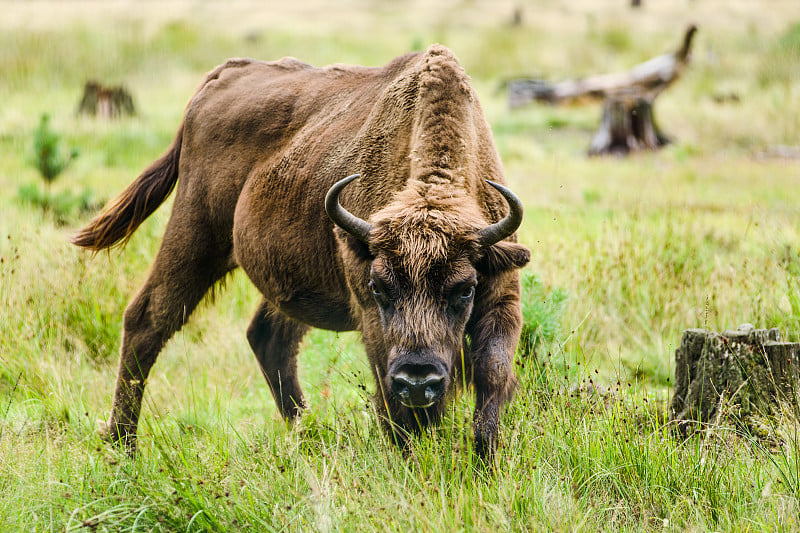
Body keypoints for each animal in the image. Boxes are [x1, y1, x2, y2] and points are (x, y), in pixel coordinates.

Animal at [72, 44, 528, 462]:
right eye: (380, 288)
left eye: (464, 289)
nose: (418, 380)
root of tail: (221, 77)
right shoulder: (371, 319)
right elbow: (393, 402)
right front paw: (410, 460)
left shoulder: (501, 294)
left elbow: (492, 373)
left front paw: (484, 462)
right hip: (195, 236)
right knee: (147, 320)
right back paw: (122, 444)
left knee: (267, 338)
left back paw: (305, 432)